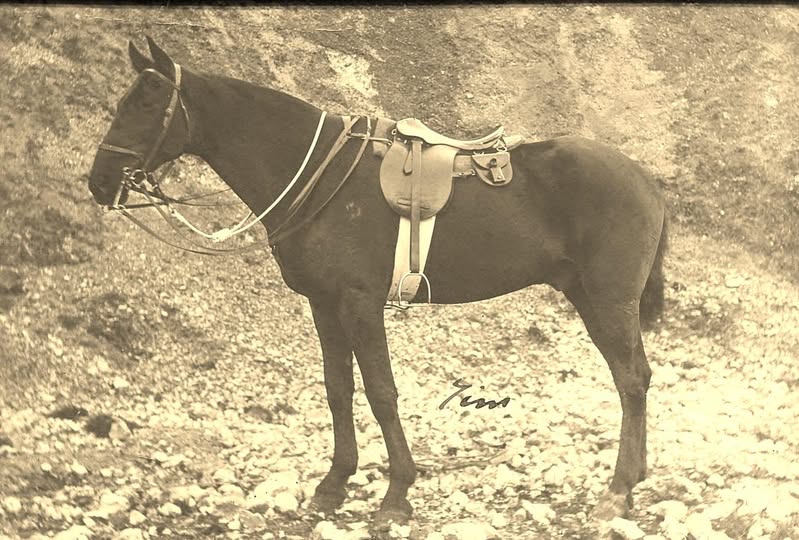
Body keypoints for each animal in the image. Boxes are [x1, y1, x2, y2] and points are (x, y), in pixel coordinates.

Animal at [88, 37, 668, 531]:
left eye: (146, 105)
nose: (98, 181)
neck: (321, 178)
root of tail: (645, 177)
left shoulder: (359, 304)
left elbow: (381, 391)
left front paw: (396, 495)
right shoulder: (323, 304)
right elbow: (338, 388)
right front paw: (333, 484)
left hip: (608, 301)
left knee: (631, 379)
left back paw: (618, 489)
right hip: (587, 296)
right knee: (633, 379)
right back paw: (632, 480)